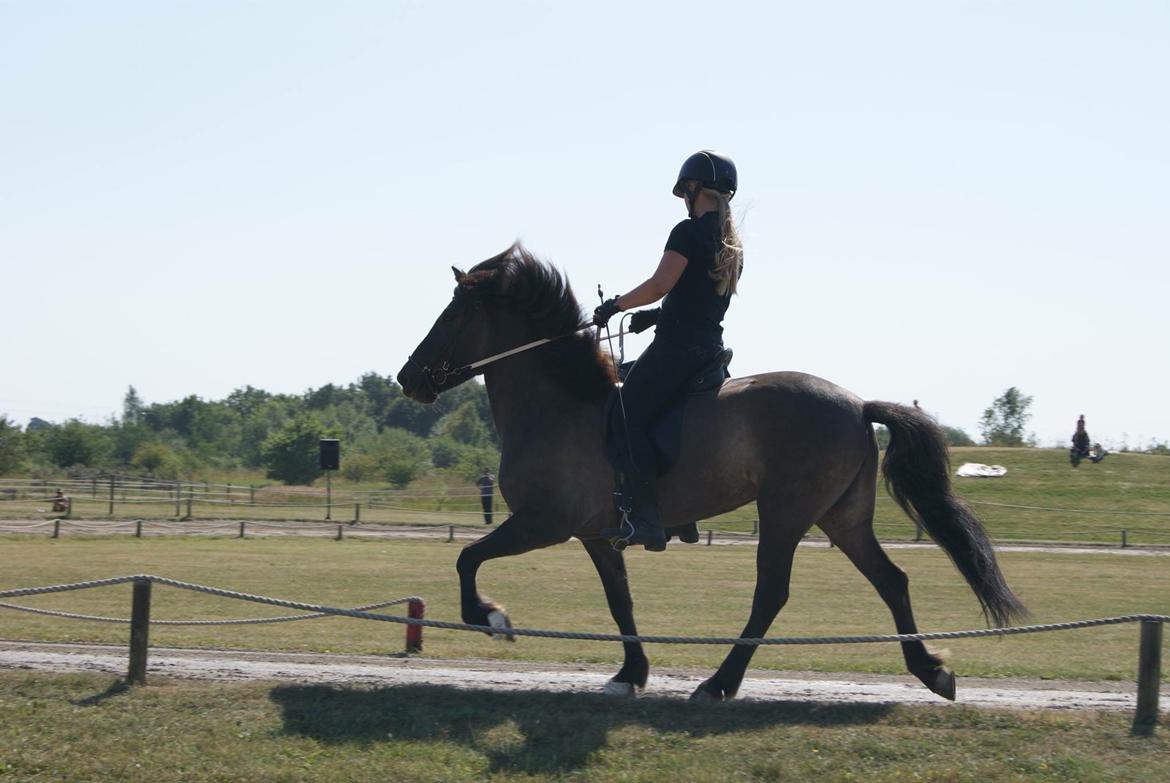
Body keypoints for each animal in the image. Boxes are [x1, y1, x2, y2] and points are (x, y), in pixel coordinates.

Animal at [395, 245, 1024, 702]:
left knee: (771, 594)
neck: (560, 405)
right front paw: (630, 673)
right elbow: (620, 601)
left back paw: (720, 683)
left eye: (453, 314)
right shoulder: (597, 535)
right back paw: (929, 670)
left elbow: (468, 557)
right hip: (842, 517)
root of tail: (857, 403)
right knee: (891, 580)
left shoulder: (543, 522)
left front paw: (490, 617)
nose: (408, 378)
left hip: (786, 512)